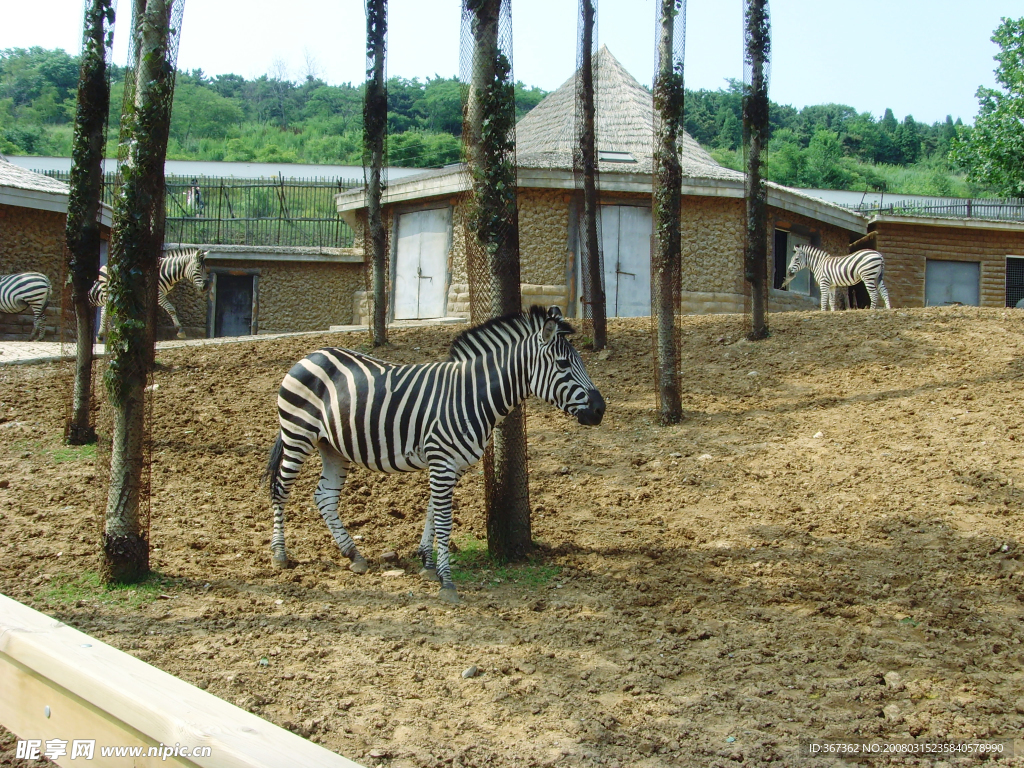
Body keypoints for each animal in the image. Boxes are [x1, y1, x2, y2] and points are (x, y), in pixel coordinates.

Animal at [262, 303, 606, 606]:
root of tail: (311, 355)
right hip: (298, 434)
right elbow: (443, 519)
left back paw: (354, 555)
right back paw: (279, 555)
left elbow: (431, 510)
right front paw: (447, 581)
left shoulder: (450, 464)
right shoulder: (442, 459)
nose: (600, 410)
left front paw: (428, 564)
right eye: (563, 365)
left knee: (324, 496)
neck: (472, 396)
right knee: (280, 489)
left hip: (332, 445)